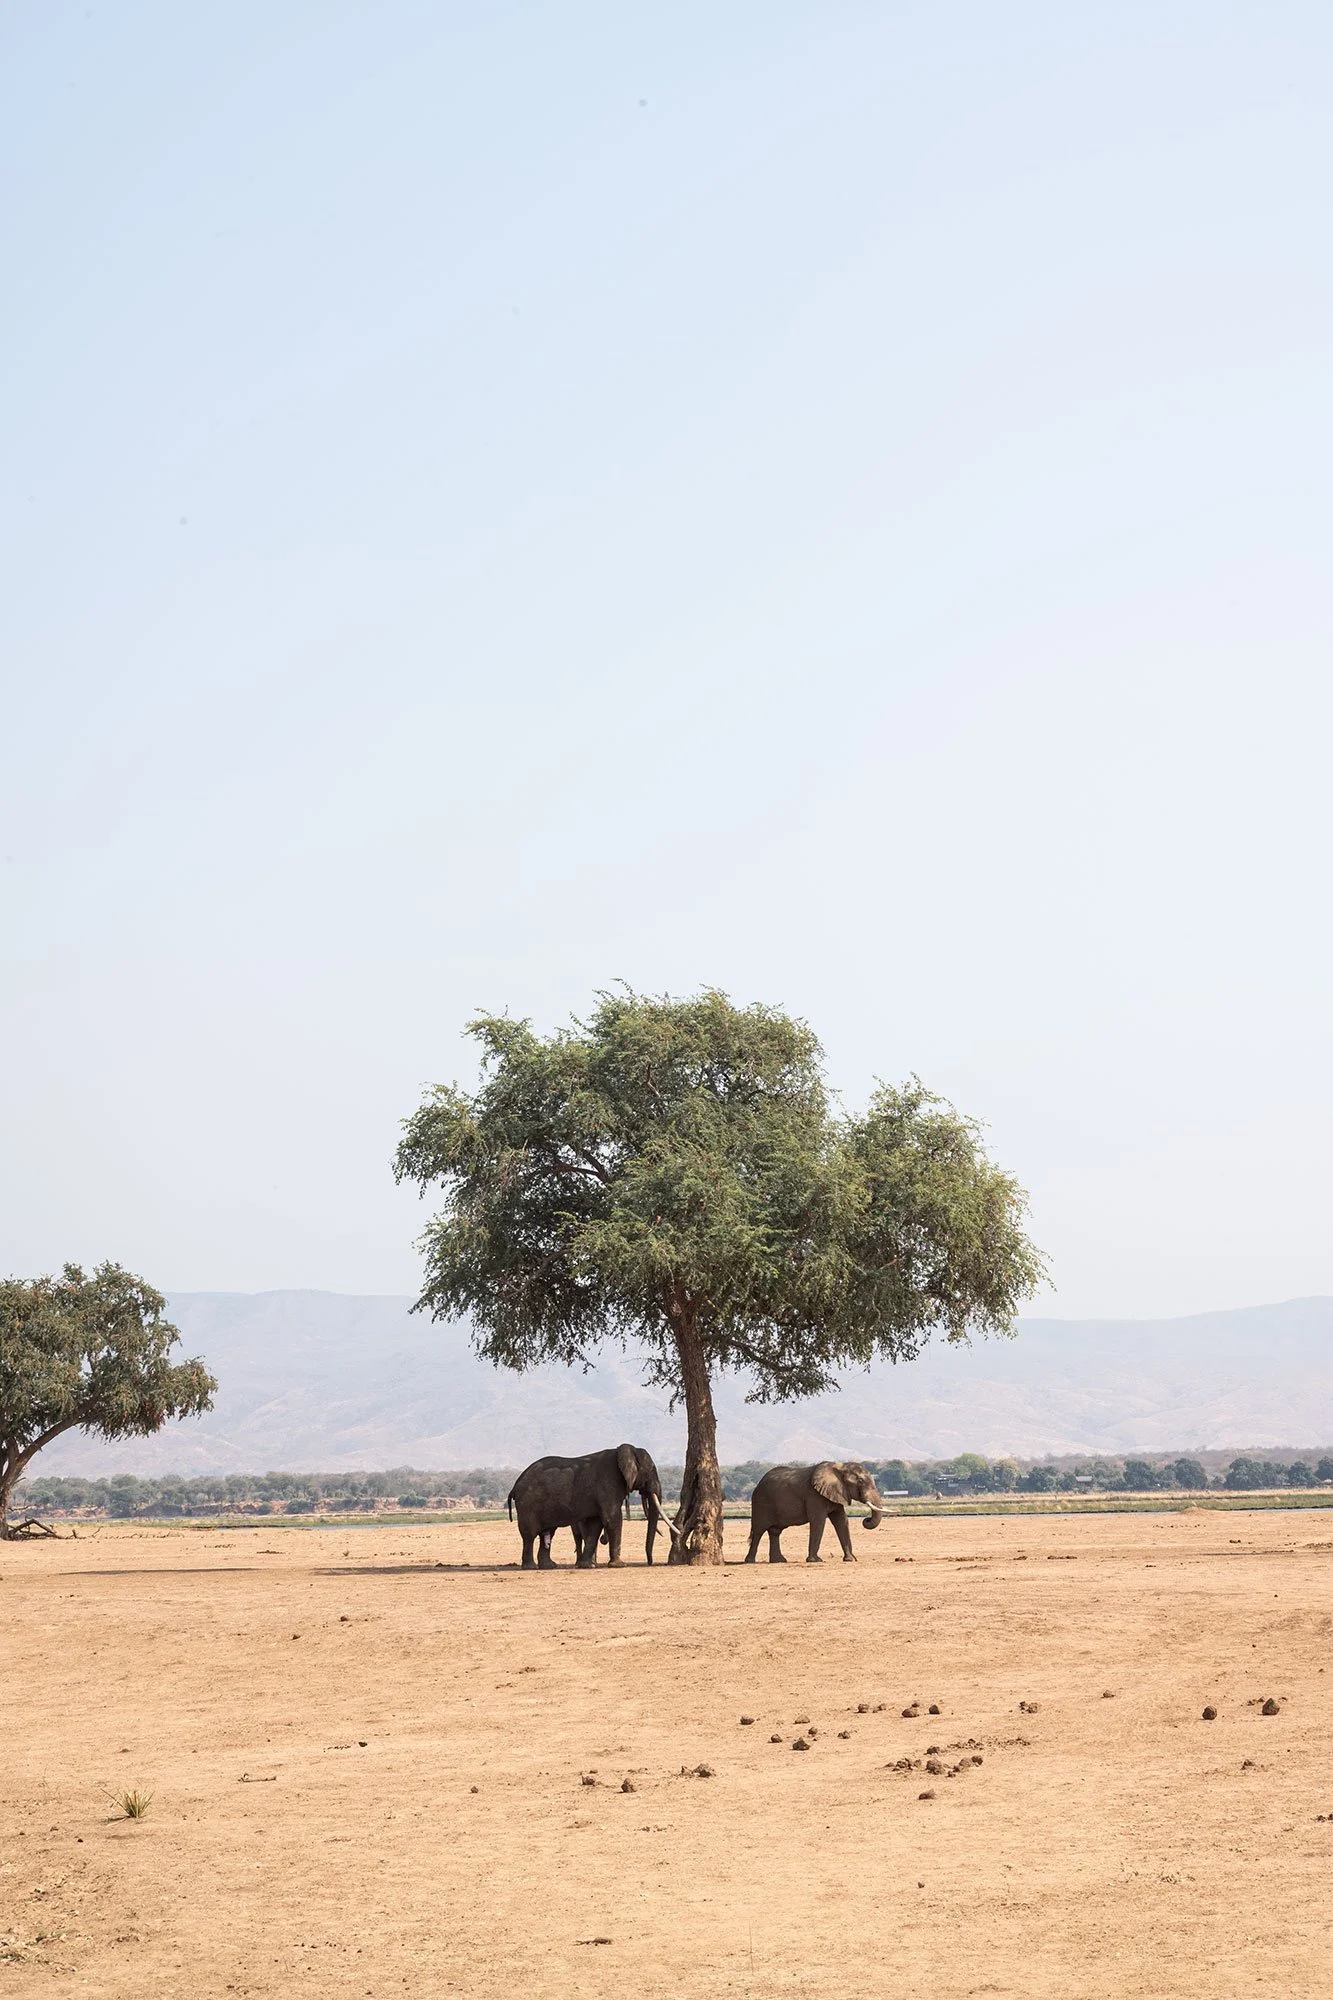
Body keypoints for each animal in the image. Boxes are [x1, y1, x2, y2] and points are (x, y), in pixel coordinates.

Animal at [506, 1445, 673, 1569]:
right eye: (651, 1470)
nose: (650, 1563)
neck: (625, 1450)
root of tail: (515, 1485)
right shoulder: (608, 1484)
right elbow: (612, 1519)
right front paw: (619, 1565)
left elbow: (595, 1525)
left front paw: (587, 1565)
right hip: (528, 1503)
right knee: (530, 1534)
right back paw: (530, 1567)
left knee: (548, 1533)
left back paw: (549, 1566)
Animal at [745, 1461, 887, 1564]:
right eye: (860, 1481)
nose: (866, 1520)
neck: (840, 1466)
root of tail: (758, 1484)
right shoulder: (814, 1495)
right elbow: (818, 1521)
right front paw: (815, 1561)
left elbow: (841, 1521)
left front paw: (850, 1559)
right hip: (761, 1503)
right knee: (758, 1531)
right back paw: (750, 1561)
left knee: (775, 1531)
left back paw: (779, 1561)